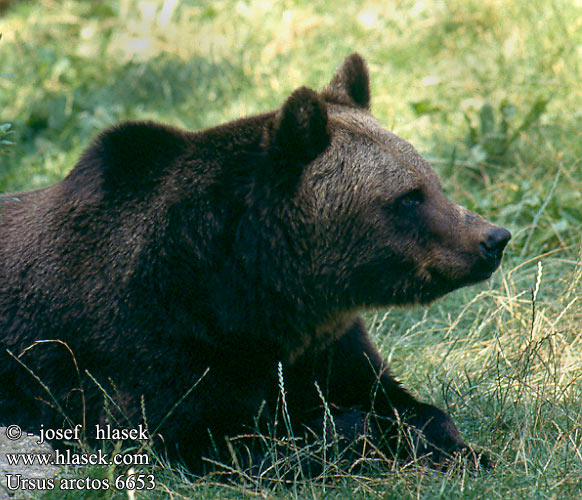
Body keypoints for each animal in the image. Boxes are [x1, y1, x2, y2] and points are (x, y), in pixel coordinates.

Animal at [0, 54, 512, 472]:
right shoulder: (146, 344)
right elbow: (213, 436)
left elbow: (397, 400)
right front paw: (349, 433)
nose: (493, 238)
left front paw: (458, 448)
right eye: (408, 197)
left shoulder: (323, 344)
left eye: (433, 182)